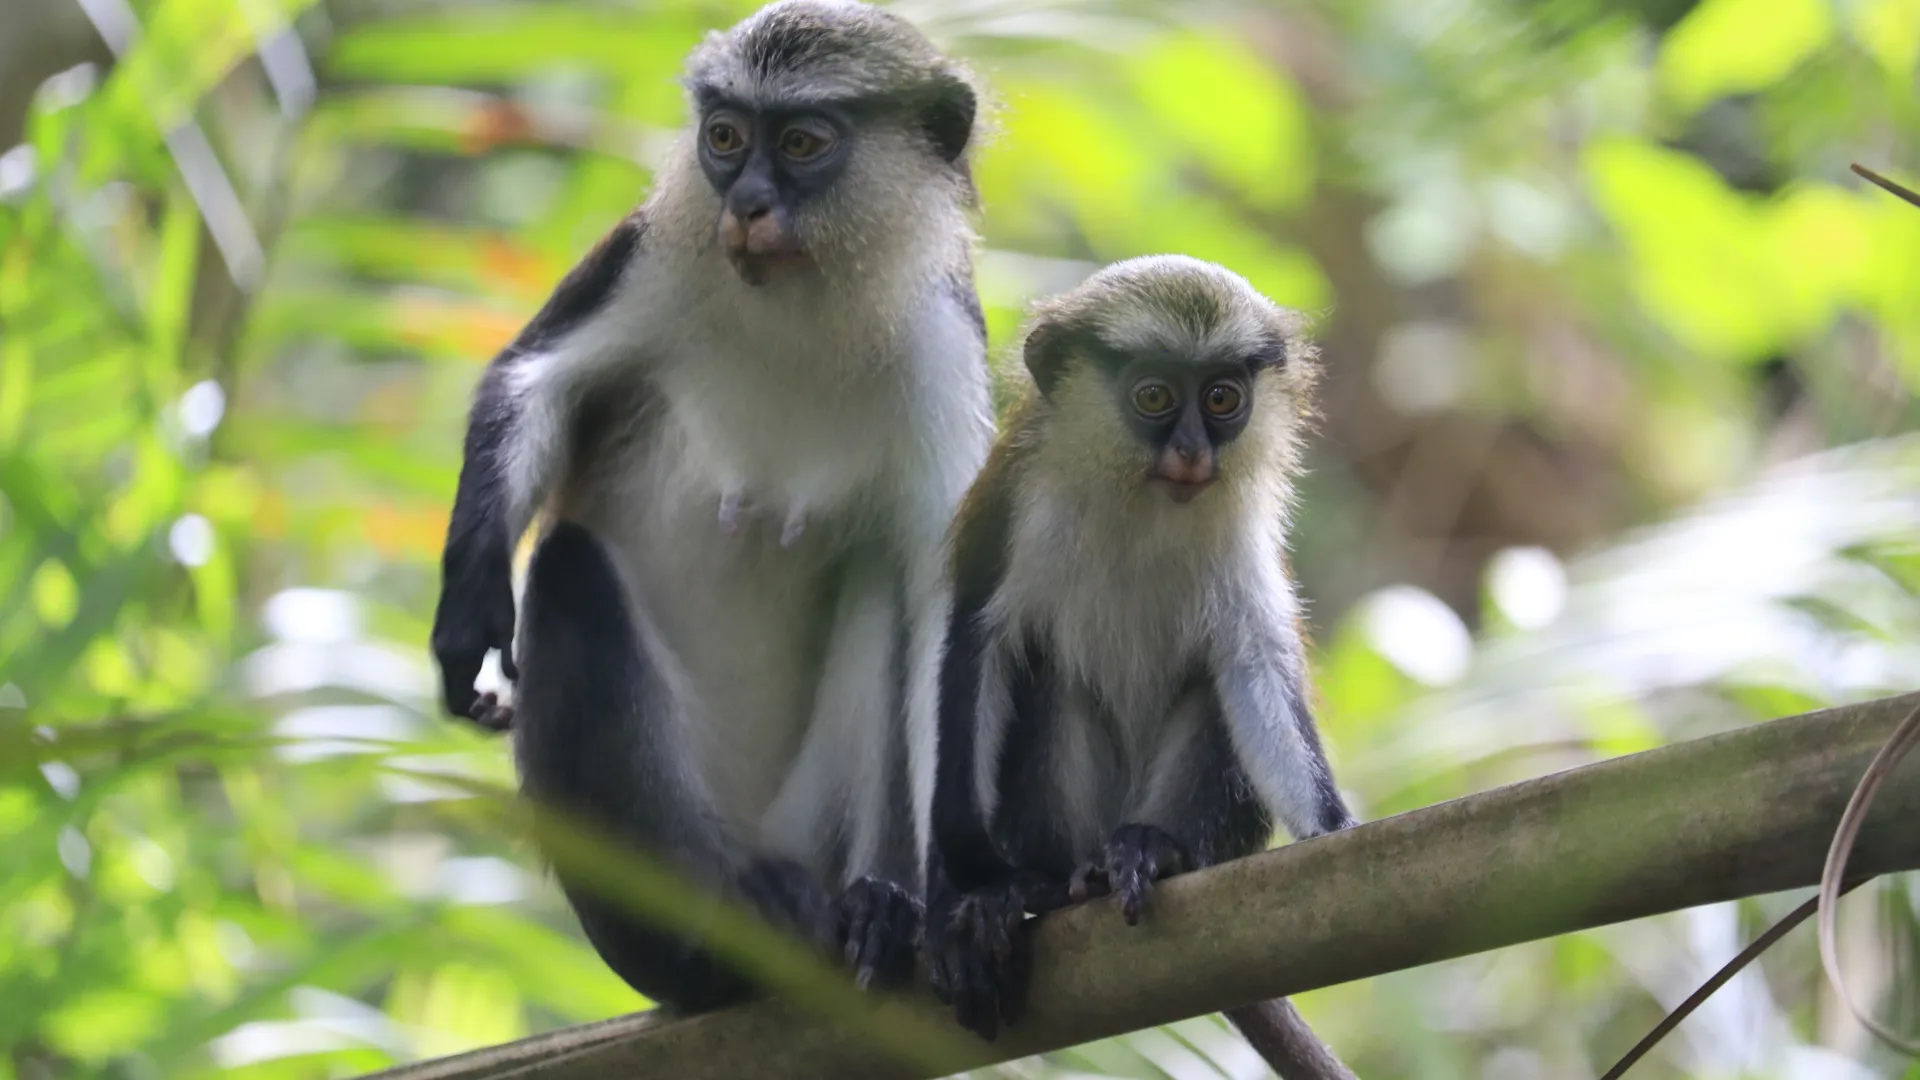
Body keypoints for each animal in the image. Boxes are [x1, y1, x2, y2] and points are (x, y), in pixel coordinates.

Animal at [428, 0, 995, 1013]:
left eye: (803, 143)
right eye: (726, 138)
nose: (747, 205)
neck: (801, 303)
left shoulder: (944, 348)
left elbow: (943, 617)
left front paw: (951, 905)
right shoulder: (648, 255)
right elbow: (532, 381)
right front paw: (469, 609)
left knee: (878, 586)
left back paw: (867, 911)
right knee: (569, 571)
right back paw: (710, 943)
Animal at [922, 255, 1361, 1077]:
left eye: (1222, 398)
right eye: (1154, 396)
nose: (1192, 452)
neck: (1144, 502)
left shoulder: (1243, 534)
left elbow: (1251, 660)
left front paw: (1333, 830)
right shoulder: (1012, 507)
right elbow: (981, 644)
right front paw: (973, 891)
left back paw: (1155, 852)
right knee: (1048, 680)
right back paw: (1049, 885)